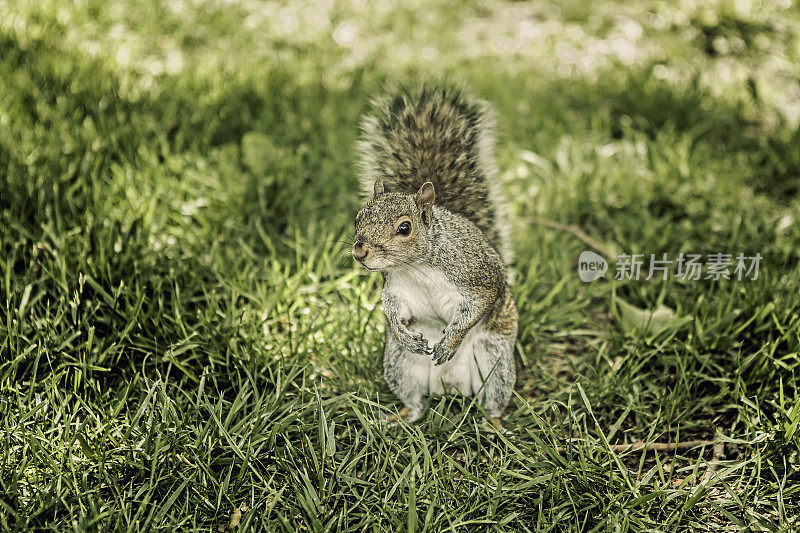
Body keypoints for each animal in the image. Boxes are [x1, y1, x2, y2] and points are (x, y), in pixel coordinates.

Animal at [352, 82, 516, 428]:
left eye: (404, 228)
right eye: (358, 218)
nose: (360, 252)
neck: (417, 267)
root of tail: (450, 387)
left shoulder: (477, 272)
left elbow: (481, 302)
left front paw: (450, 340)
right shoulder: (395, 288)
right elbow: (393, 310)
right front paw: (404, 333)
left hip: (495, 359)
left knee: (493, 400)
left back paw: (493, 424)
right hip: (400, 365)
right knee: (416, 403)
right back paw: (400, 416)